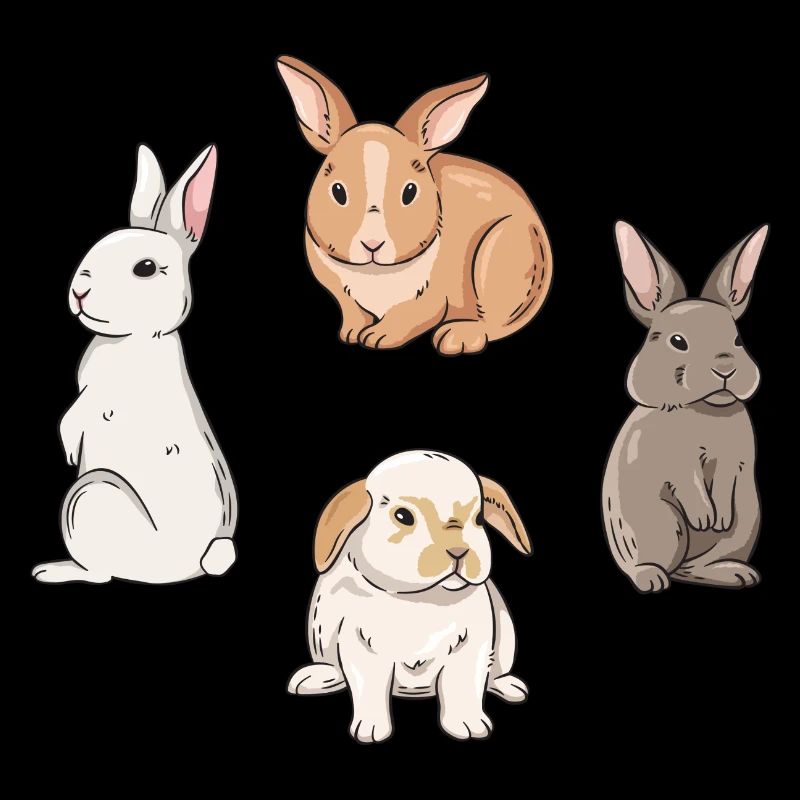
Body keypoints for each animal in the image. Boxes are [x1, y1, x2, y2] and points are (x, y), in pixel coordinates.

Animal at [32, 144, 237, 584]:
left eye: (145, 268)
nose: (79, 290)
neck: (135, 336)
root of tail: (194, 563)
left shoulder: (101, 393)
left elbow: (78, 412)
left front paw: (68, 447)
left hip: (89, 494)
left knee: (100, 574)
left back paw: (53, 571)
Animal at [276, 56, 552, 355]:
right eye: (338, 192)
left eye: (410, 192)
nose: (372, 244)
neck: (374, 271)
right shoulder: (344, 297)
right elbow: (354, 312)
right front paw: (350, 335)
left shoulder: (430, 298)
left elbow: (411, 314)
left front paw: (377, 338)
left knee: (495, 324)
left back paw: (456, 337)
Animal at [287, 450, 531, 742]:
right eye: (403, 516)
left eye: (479, 520)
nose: (459, 551)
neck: (420, 599)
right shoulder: (360, 646)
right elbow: (370, 688)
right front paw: (370, 729)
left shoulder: (473, 647)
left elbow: (462, 686)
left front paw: (468, 725)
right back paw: (315, 678)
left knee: (494, 673)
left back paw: (510, 686)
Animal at [603, 221, 769, 593]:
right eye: (678, 342)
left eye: (737, 339)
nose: (726, 368)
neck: (704, 408)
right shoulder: (675, 460)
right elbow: (688, 480)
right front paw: (705, 518)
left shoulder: (734, 458)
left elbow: (723, 480)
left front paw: (718, 519)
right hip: (661, 524)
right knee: (661, 564)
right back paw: (651, 580)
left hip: (747, 518)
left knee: (696, 567)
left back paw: (737, 574)